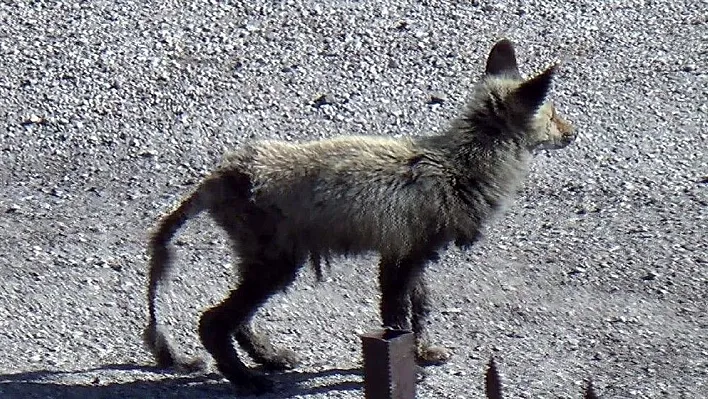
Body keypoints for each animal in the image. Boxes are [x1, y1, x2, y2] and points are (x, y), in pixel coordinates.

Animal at [142, 38, 576, 396]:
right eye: (553, 114)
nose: (573, 133)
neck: (458, 168)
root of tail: (225, 172)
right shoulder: (406, 257)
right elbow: (398, 317)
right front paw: (409, 366)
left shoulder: (406, 252)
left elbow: (418, 310)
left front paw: (422, 352)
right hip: (276, 266)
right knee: (213, 322)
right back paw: (247, 380)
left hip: (261, 263)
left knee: (236, 320)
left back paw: (269, 357)